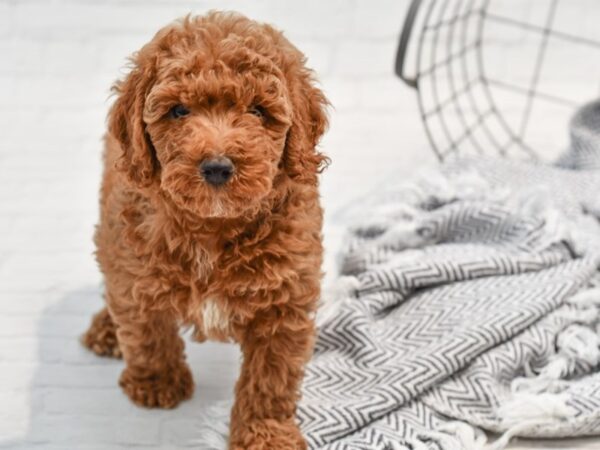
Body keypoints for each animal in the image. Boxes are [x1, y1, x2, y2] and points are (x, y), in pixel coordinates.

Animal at [82, 11, 328, 450]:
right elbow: (145, 326)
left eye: (258, 111)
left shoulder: (286, 301)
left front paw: (266, 433)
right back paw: (106, 328)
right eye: (179, 111)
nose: (216, 166)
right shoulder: (135, 260)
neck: (213, 228)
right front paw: (158, 383)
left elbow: (271, 377)